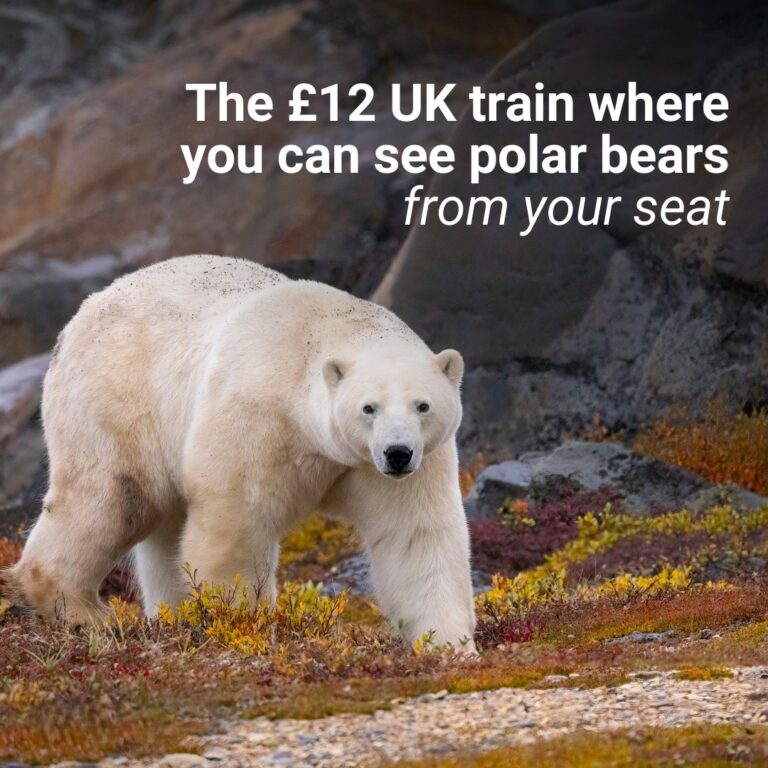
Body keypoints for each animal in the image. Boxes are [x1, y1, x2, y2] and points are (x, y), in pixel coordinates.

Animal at [4, 255, 476, 648]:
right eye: (368, 407)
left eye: (422, 405)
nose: (397, 453)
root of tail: (83, 312)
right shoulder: (261, 419)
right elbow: (237, 524)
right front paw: (241, 622)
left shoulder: (397, 464)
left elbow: (413, 537)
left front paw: (448, 647)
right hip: (119, 396)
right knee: (116, 497)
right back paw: (84, 614)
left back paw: (170, 617)